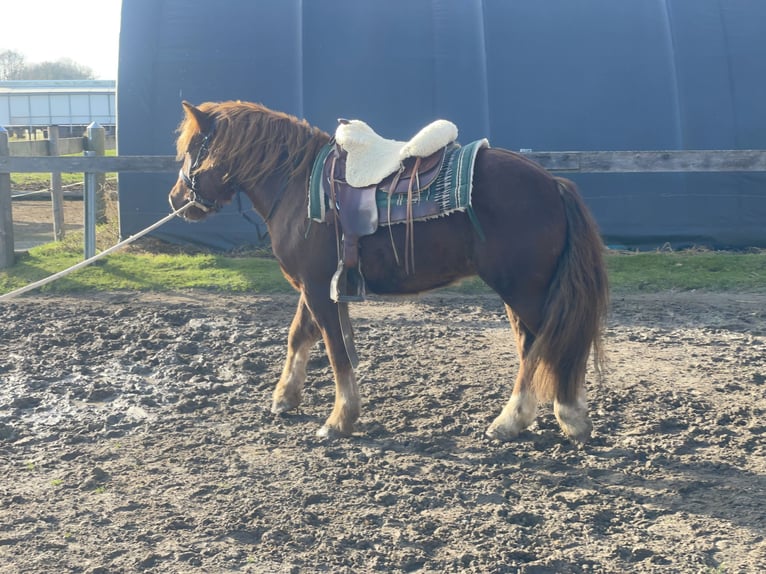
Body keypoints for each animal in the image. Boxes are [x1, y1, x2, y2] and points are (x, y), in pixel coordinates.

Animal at [170, 101, 612, 444]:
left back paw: (553, 417)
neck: (295, 185)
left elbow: (335, 350)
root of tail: (553, 183)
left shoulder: (320, 288)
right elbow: (300, 335)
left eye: (193, 148)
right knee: (535, 347)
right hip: (520, 293)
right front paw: (285, 398)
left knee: (549, 345)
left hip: (524, 291)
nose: (176, 199)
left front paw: (339, 421)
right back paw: (522, 421)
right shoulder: (312, 286)